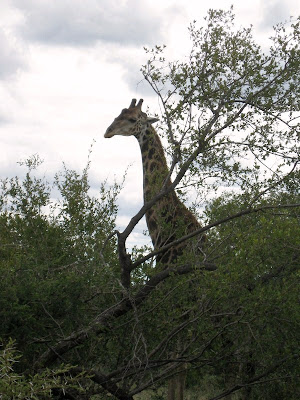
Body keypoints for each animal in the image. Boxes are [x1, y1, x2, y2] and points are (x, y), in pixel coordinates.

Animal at [105, 97, 206, 400]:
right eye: (119, 113)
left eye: (132, 119)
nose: (107, 131)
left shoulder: (165, 287)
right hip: (192, 305)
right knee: (183, 357)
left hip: (185, 301)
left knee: (179, 358)